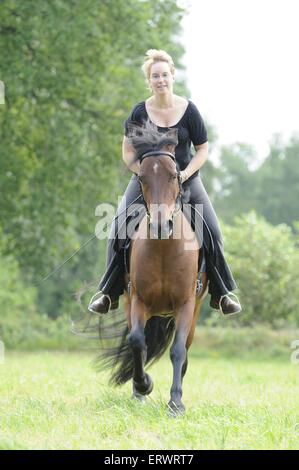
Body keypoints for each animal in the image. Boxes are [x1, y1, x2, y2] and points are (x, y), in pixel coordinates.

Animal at [98, 120, 209, 414]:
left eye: (173, 175)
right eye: (142, 178)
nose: (161, 225)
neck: (163, 249)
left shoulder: (185, 304)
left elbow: (178, 350)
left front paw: (176, 402)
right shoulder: (138, 299)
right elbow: (137, 342)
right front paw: (143, 385)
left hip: (195, 310)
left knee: (185, 350)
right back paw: (139, 391)